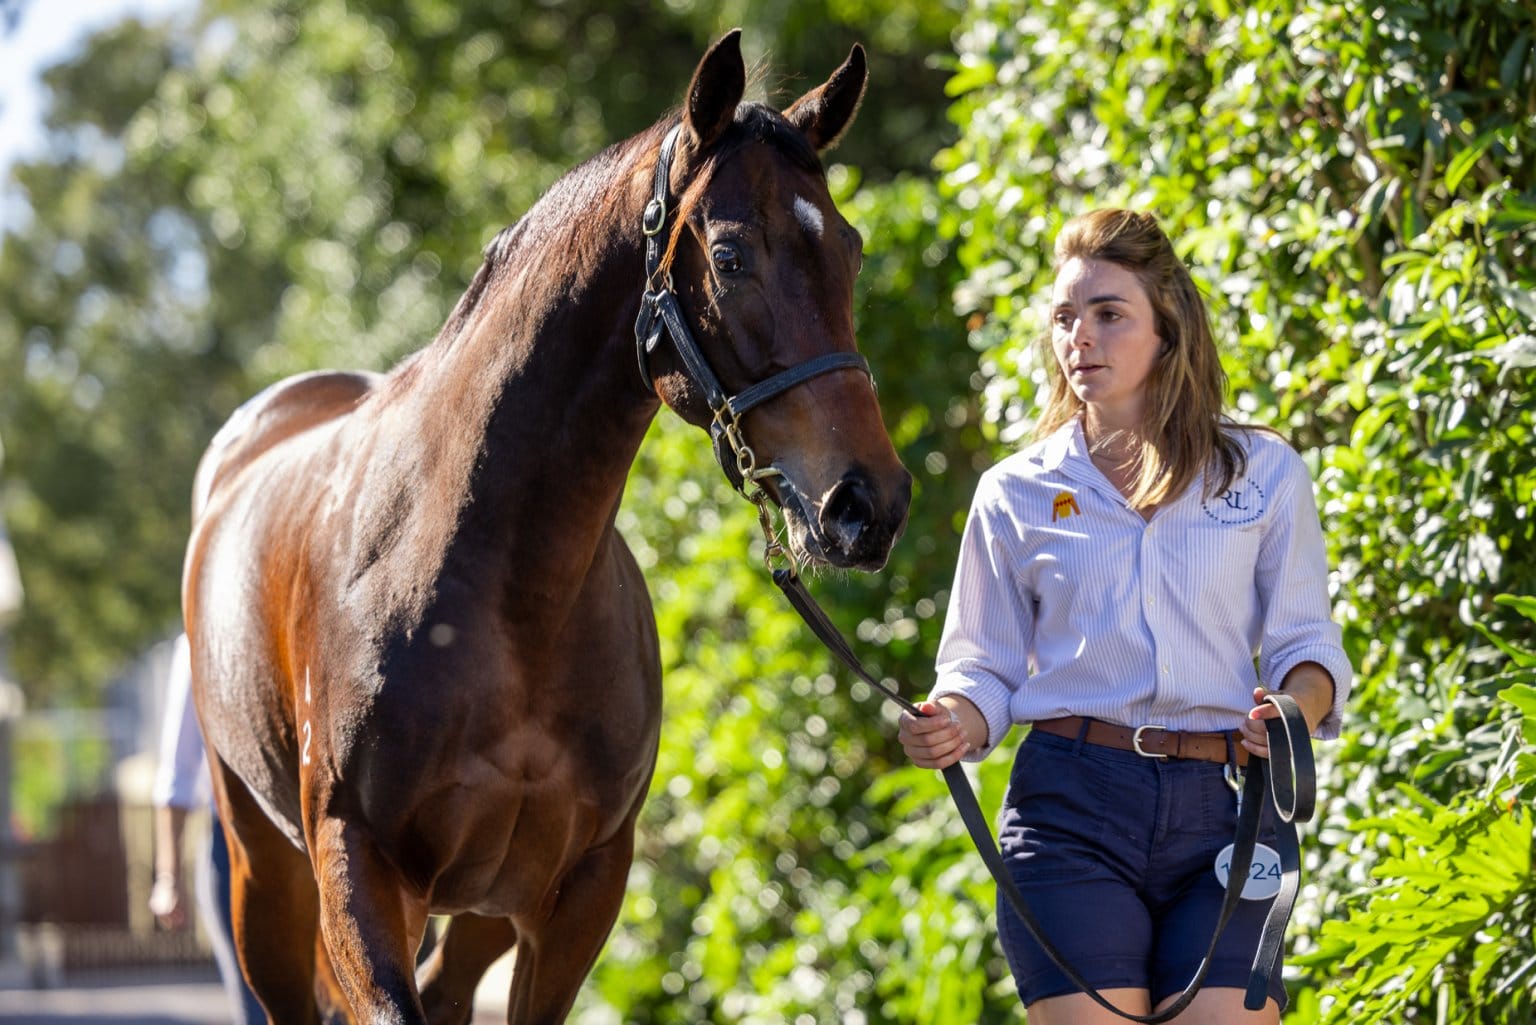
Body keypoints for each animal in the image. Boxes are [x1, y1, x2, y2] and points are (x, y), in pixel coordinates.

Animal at [181, 30, 909, 1025]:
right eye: (729, 256)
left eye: (851, 248)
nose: (868, 503)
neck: (503, 596)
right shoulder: (357, 871)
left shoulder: (578, 890)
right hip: (271, 873)